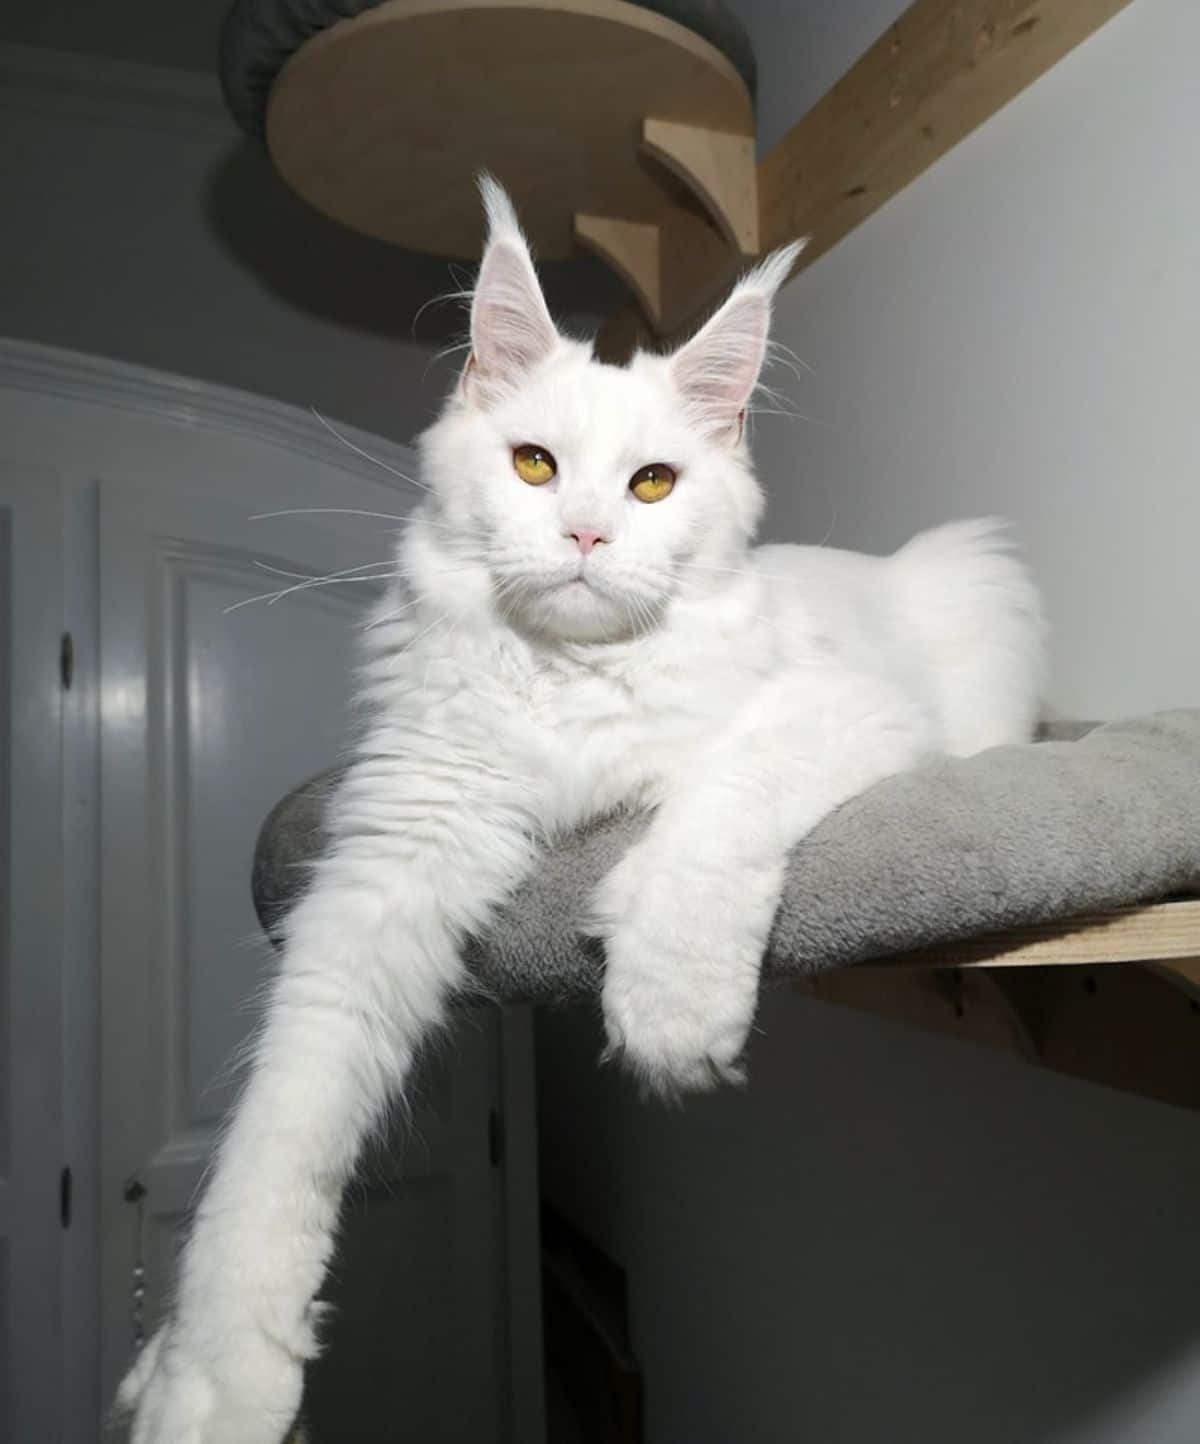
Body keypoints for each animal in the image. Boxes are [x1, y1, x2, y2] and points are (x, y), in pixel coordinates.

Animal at [119, 183, 1039, 1444]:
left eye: (652, 484)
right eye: (535, 464)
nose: (588, 537)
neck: (569, 679)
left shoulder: (846, 709)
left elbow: (712, 812)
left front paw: (666, 1005)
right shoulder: (391, 858)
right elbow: (281, 1122)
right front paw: (212, 1372)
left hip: (979, 580)